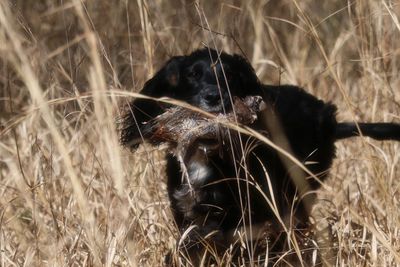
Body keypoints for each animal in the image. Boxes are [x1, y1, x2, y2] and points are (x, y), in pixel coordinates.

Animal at [120, 47, 400, 264]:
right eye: (192, 74)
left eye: (230, 75)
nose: (214, 97)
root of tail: (329, 120)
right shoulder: (185, 210)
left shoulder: (247, 210)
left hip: (296, 190)